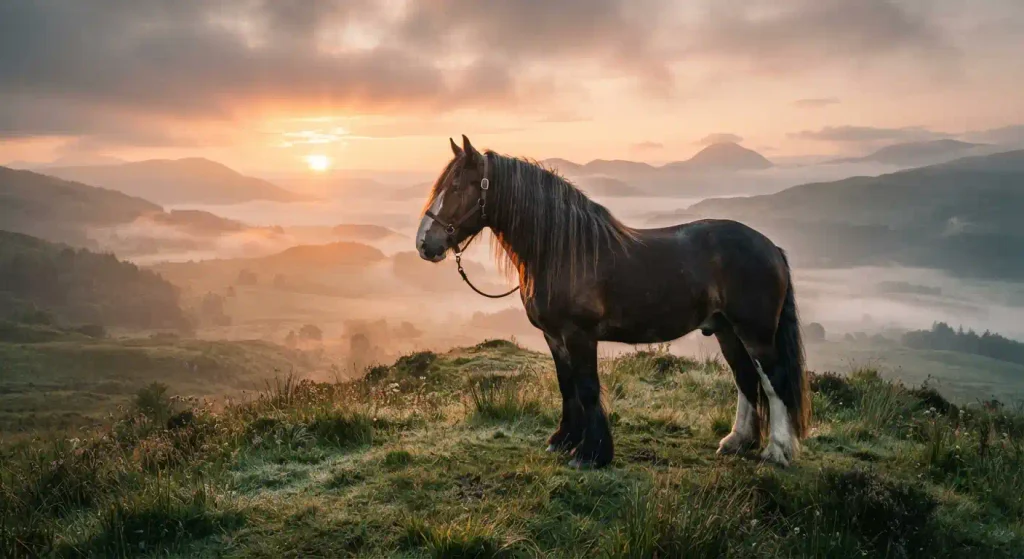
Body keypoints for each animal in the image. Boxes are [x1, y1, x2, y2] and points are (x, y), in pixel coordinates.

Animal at [415, 135, 811, 469]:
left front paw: (591, 454)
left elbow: (588, 388)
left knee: (773, 380)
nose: (424, 243)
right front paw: (564, 440)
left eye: (456, 186)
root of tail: (770, 247)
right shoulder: (554, 337)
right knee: (746, 379)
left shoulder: (579, 334)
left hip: (755, 333)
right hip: (727, 331)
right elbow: (567, 386)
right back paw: (737, 441)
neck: (561, 251)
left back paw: (776, 451)